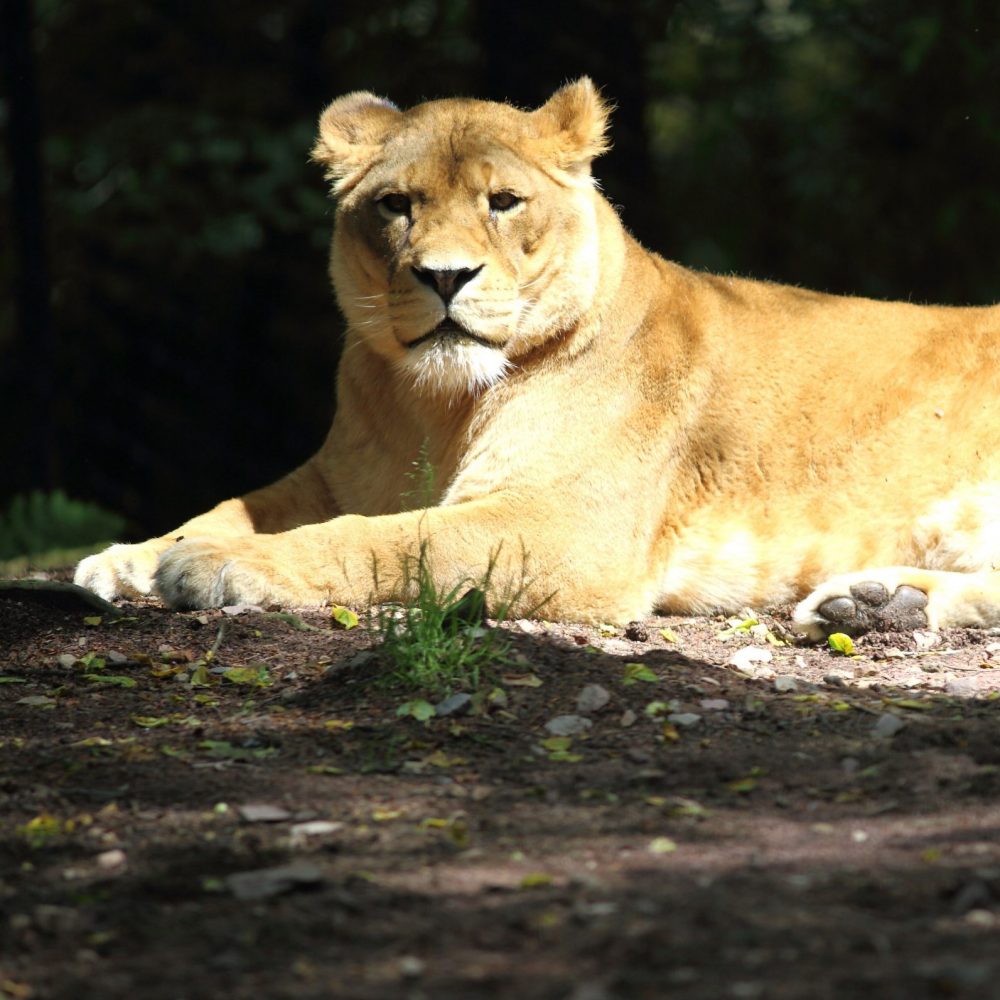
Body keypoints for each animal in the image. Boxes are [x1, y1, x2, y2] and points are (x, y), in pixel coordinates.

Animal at [75, 78, 1000, 640]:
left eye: (503, 201)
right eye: (396, 205)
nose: (444, 276)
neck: (437, 408)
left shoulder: (568, 524)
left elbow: (394, 540)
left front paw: (221, 566)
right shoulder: (333, 477)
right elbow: (231, 506)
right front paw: (133, 557)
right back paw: (878, 600)